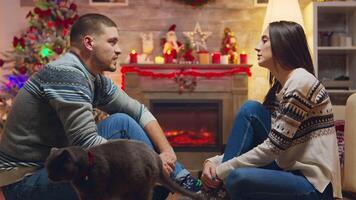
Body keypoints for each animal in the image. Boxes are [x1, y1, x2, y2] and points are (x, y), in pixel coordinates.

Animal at [45, 139, 202, 200]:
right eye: (47, 168)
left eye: (56, 168)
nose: (49, 177)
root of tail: (156, 158)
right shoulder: (83, 195)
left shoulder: (100, 194)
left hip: (137, 189)